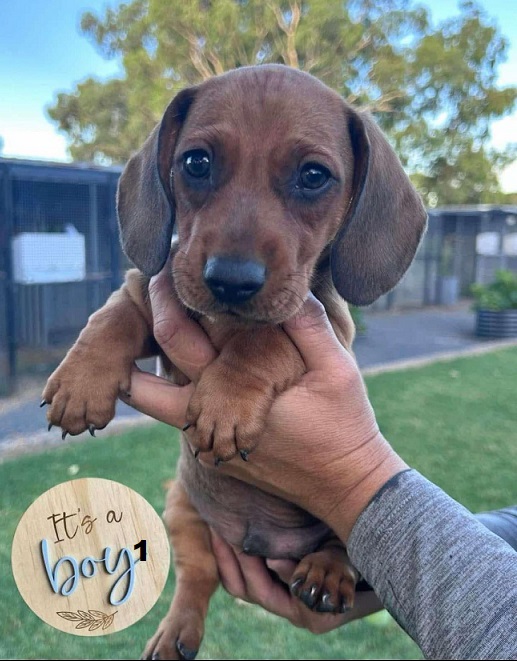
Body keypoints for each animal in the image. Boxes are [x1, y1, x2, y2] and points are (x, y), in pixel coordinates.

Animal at [42, 63, 426, 660]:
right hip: (181, 506)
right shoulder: (151, 292)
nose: (230, 280)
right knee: (198, 578)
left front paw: (223, 402)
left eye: (314, 176)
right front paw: (80, 382)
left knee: (343, 543)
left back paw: (325, 570)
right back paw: (175, 633)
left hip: (342, 518)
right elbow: (114, 316)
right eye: (196, 163)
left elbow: (265, 340)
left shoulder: (328, 330)